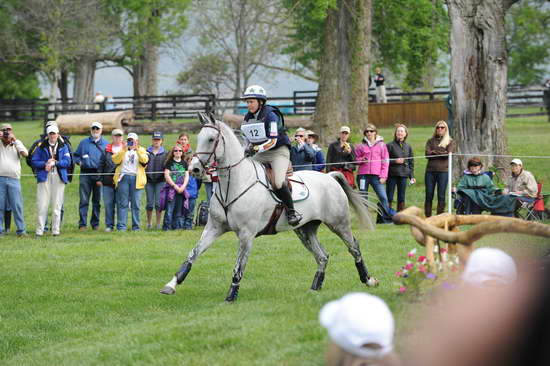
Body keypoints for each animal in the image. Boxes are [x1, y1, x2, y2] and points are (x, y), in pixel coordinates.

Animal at [160, 113, 380, 302]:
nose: (195, 169)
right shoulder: (214, 228)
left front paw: (231, 296)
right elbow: (193, 254)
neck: (234, 183)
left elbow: (238, 266)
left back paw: (368, 279)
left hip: (338, 223)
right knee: (322, 256)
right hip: (305, 229)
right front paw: (171, 285)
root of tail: (330, 177)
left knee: (354, 247)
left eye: (212, 139)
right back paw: (314, 288)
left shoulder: (246, 234)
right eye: (198, 138)